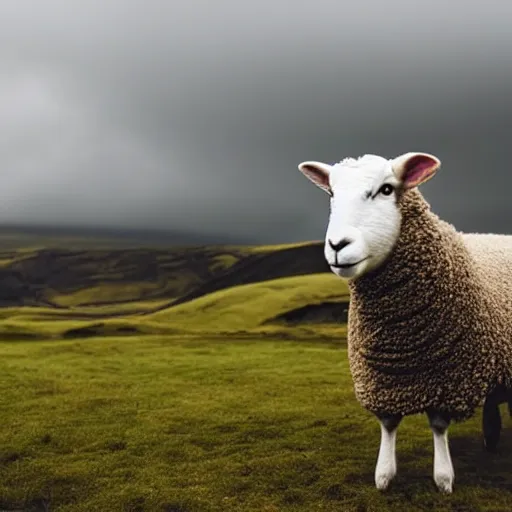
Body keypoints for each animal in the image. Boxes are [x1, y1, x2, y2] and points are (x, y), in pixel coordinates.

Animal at [296, 152, 512, 492]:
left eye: (387, 189)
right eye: (331, 193)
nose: (337, 245)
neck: (400, 339)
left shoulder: (446, 380)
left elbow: (438, 425)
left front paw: (443, 479)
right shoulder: (383, 381)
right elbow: (388, 424)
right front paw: (384, 475)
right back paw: (490, 438)